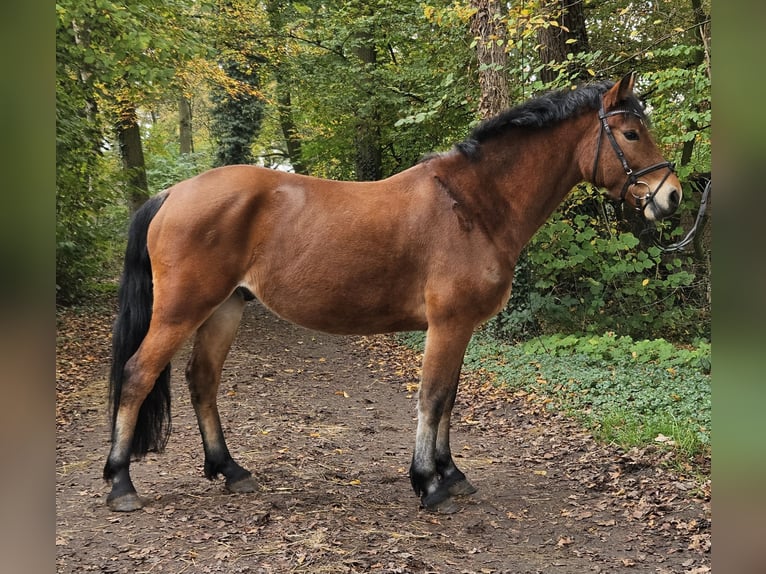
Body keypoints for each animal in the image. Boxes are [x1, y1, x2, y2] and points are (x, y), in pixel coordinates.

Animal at [103, 74, 684, 516]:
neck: (472, 204)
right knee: (137, 375)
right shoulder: (447, 324)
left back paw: (230, 470)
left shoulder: (461, 328)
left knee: (202, 381)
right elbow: (431, 398)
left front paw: (451, 474)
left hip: (223, 310)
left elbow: (449, 399)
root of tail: (173, 192)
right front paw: (427, 483)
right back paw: (120, 483)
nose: (673, 196)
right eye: (631, 132)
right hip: (180, 311)